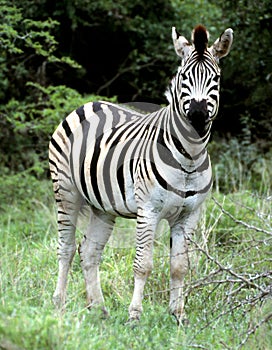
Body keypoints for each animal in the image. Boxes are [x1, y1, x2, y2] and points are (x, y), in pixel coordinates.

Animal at [48, 24, 232, 324]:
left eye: (215, 78)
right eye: (183, 77)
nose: (197, 114)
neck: (189, 157)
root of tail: (89, 103)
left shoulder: (190, 214)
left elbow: (180, 266)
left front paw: (178, 315)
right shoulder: (149, 210)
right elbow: (143, 264)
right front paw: (134, 315)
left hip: (103, 206)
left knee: (88, 251)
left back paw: (98, 308)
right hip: (65, 190)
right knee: (66, 247)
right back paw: (59, 305)